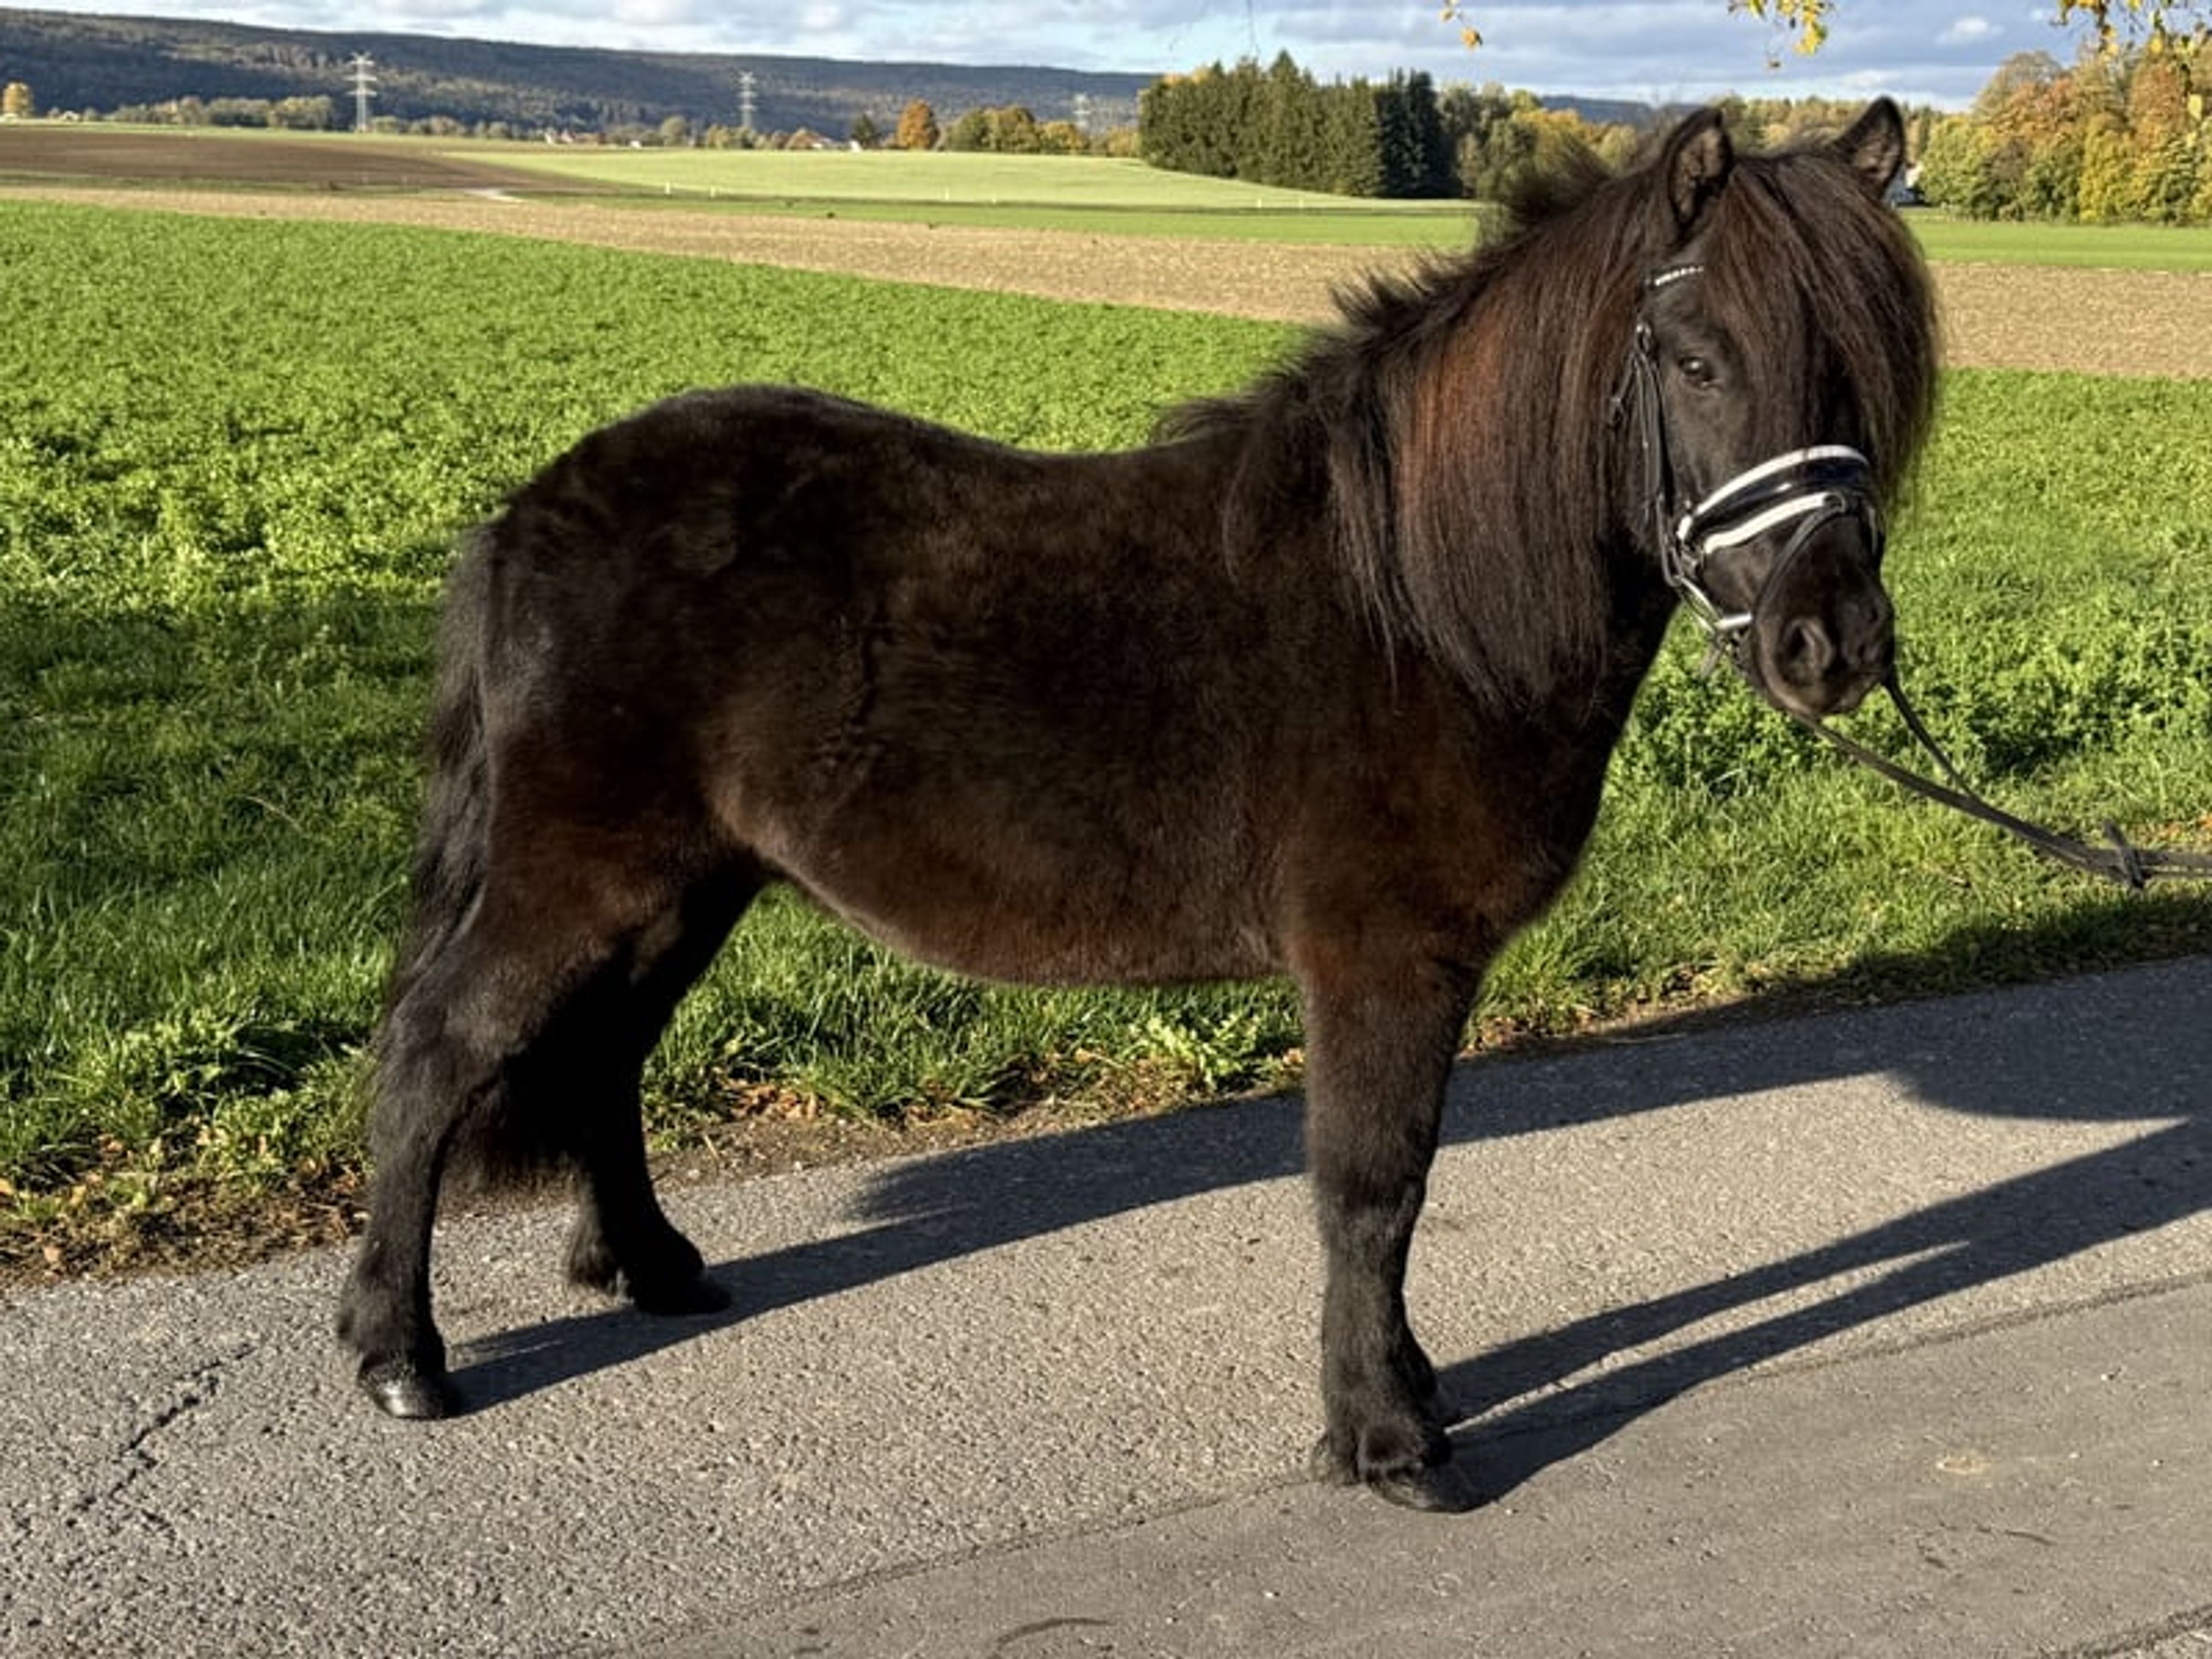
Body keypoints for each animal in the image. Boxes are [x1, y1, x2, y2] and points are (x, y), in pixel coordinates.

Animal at [337, 99, 1938, 1511]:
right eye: (1692, 356)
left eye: (1861, 371)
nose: (1834, 645)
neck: (1418, 609)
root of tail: (525, 514)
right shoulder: (1380, 961)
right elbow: (1373, 1188)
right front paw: (1384, 1438)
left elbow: (1392, 1190)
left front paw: (1405, 1392)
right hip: (579, 873)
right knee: (436, 1053)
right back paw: (399, 1355)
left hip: (689, 881)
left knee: (603, 1058)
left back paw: (655, 1270)